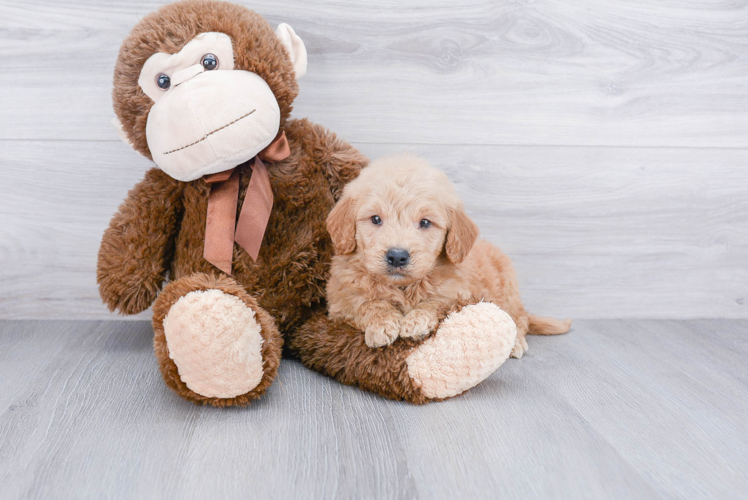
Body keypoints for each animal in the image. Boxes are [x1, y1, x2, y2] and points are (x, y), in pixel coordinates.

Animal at [324, 154, 568, 354]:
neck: (403, 288)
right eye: (375, 219)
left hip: (508, 293)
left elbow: (437, 302)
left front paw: (417, 321)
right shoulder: (339, 300)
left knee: (518, 318)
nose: (397, 256)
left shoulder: (459, 293)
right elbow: (365, 302)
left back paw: (515, 342)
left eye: (425, 223)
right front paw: (381, 322)